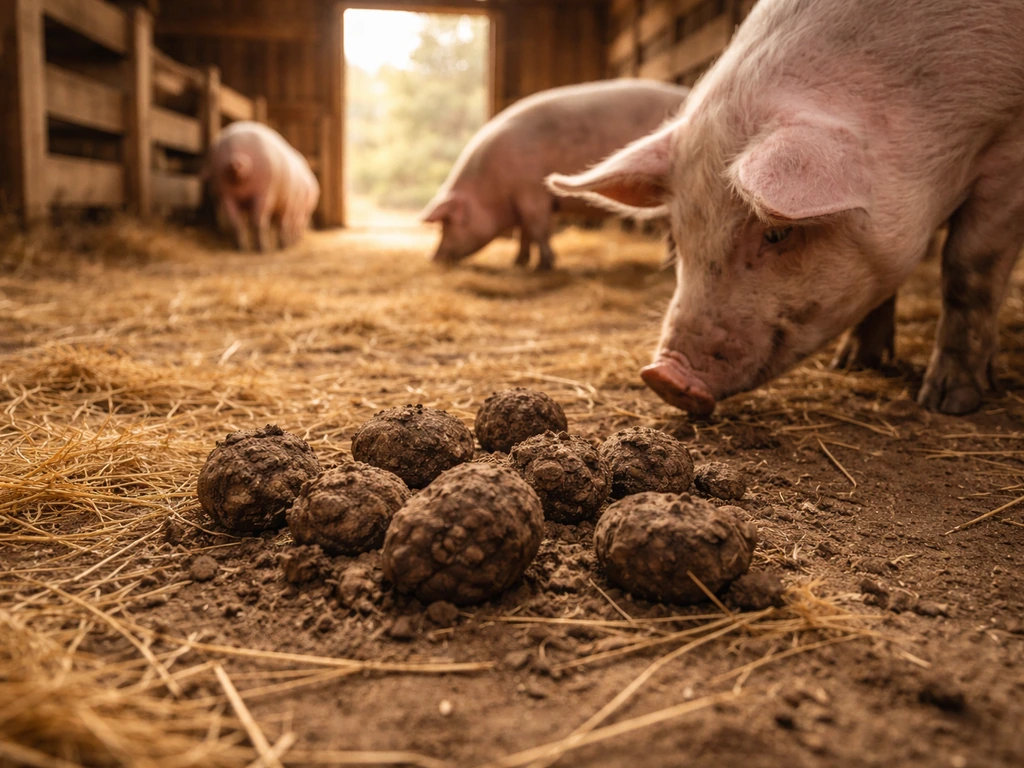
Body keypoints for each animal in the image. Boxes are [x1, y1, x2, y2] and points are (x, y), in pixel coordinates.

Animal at [205, 121, 320, 252]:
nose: (235, 162)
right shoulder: (228, 194)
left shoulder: (266, 192)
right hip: (236, 194)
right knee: (245, 221)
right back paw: (252, 248)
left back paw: (265, 247)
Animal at [421, 79, 689, 270]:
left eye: (447, 224)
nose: (433, 257)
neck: (491, 188)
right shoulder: (524, 201)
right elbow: (524, 233)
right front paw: (518, 263)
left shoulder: (532, 193)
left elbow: (538, 229)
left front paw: (545, 265)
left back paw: (667, 267)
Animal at [548, 0, 1024, 415]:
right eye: (679, 236)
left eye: (776, 232)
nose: (664, 377)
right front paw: (853, 363)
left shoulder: (1008, 149)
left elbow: (967, 269)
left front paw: (947, 403)